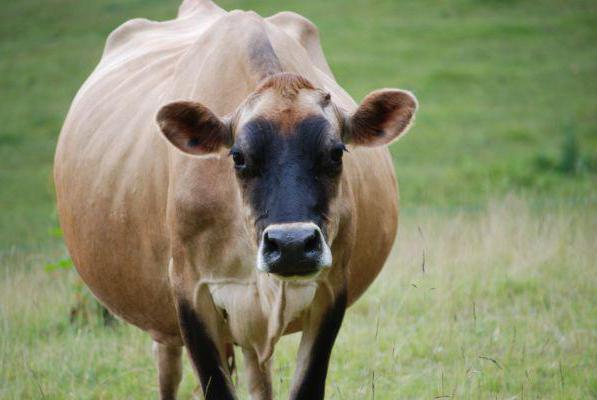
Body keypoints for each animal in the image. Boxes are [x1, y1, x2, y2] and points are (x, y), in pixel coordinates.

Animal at [54, 1, 420, 398]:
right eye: (238, 157)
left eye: (336, 153)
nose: (292, 245)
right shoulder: (190, 293)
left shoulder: (331, 287)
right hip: (165, 322)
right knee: (168, 370)